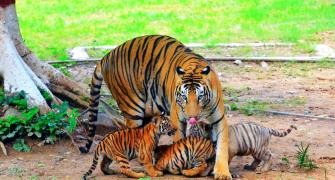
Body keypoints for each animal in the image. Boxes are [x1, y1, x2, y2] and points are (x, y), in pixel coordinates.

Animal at [79, 34, 231, 179]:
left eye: (200, 97)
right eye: (184, 97)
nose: (192, 117)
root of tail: (106, 56)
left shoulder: (219, 119)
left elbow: (222, 146)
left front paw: (222, 173)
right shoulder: (178, 120)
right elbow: (180, 144)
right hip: (132, 108)